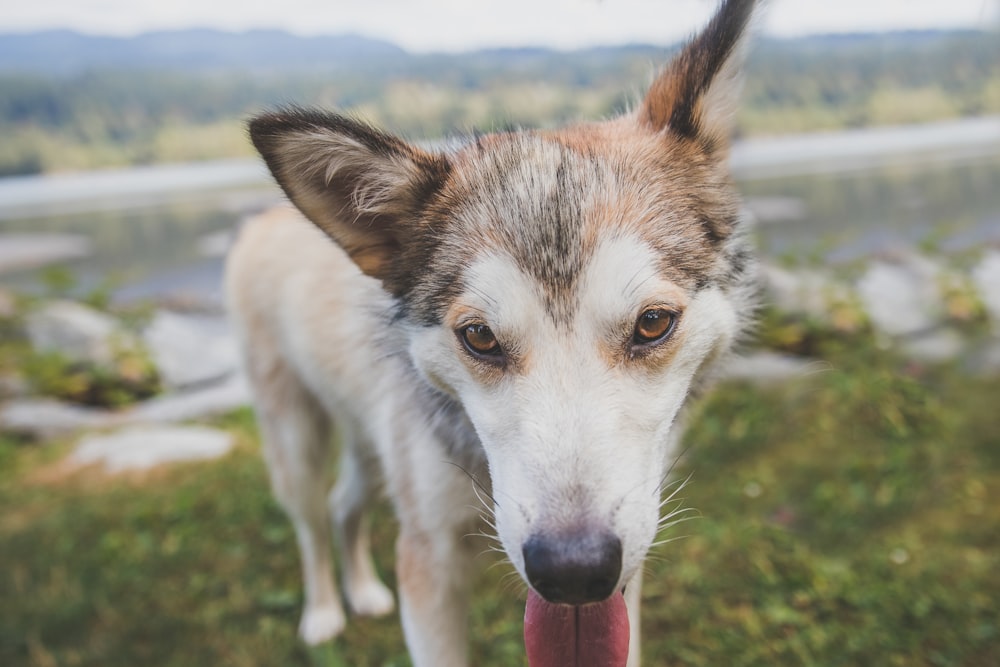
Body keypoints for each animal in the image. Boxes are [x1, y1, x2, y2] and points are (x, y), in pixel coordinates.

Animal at [225, 2, 756, 664]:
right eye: (479, 337)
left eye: (652, 323)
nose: (573, 572)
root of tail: (264, 217)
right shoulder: (426, 562)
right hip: (296, 442)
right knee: (311, 521)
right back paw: (323, 611)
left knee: (344, 503)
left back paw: (364, 591)